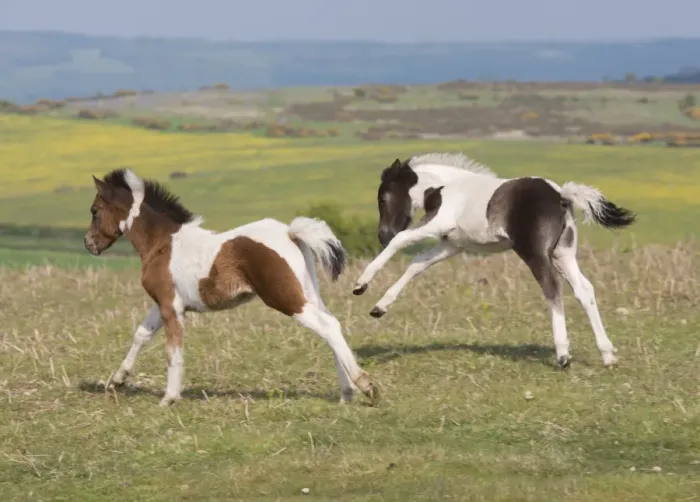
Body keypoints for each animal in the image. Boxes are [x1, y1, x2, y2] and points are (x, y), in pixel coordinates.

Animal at [84, 168, 379, 407]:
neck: (163, 243)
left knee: (328, 327)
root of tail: (290, 233)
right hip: (307, 292)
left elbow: (173, 351)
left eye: (95, 211)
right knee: (331, 326)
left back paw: (366, 387)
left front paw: (169, 398)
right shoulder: (166, 303)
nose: (89, 244)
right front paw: (117, 380)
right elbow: (141, 334)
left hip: (284, 297)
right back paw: (346, 394)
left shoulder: (170, 306)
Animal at [351, 152, 636, 369]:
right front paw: (379, 308)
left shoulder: (436, 225)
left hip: (535, 253)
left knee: (552, 288)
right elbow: (417, 265)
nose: (382, 235)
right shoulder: (452, 244)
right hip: (563, 253)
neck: (444, 188)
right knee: (584, 289)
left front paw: (360, 285)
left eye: (383, 197)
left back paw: (563, 355)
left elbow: (401, 241)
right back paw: (607, 355)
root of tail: (561, 195)